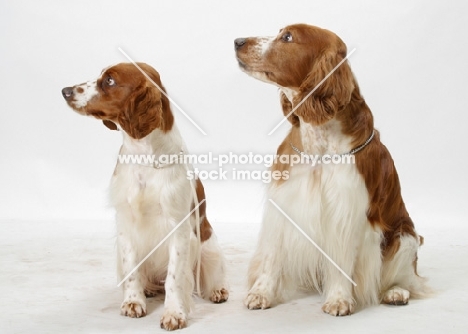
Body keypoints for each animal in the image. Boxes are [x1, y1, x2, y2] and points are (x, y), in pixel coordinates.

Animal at [234, 23, 428, 316]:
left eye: (287, 37)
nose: (237, 41)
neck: (319, 142)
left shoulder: (347, 210)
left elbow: (342, 261)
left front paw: (339, 299)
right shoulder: (284, 202)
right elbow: (271, 256)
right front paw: (261, 293)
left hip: (405, 237)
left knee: (409, 279)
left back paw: (396, 292)